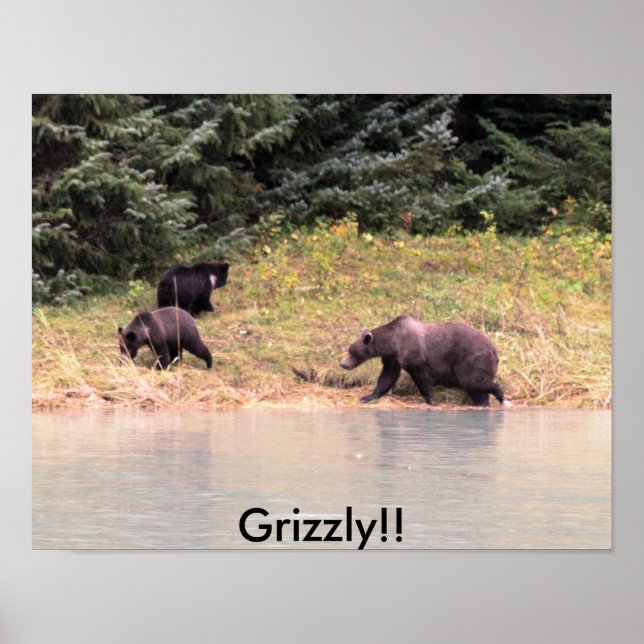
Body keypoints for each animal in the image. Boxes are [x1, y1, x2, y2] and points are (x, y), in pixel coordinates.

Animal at [340, 315, 505, 407]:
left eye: (352, 351)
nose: (343, 364)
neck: (393, 343)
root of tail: (494, 349)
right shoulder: (392, 358)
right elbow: (387, 377)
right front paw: (368, 397)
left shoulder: (414, 355)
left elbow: (421, 377)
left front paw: (430, 400)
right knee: (474, 387)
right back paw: (481, 403)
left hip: (472, 358)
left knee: (472, 380)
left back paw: (500, 395)